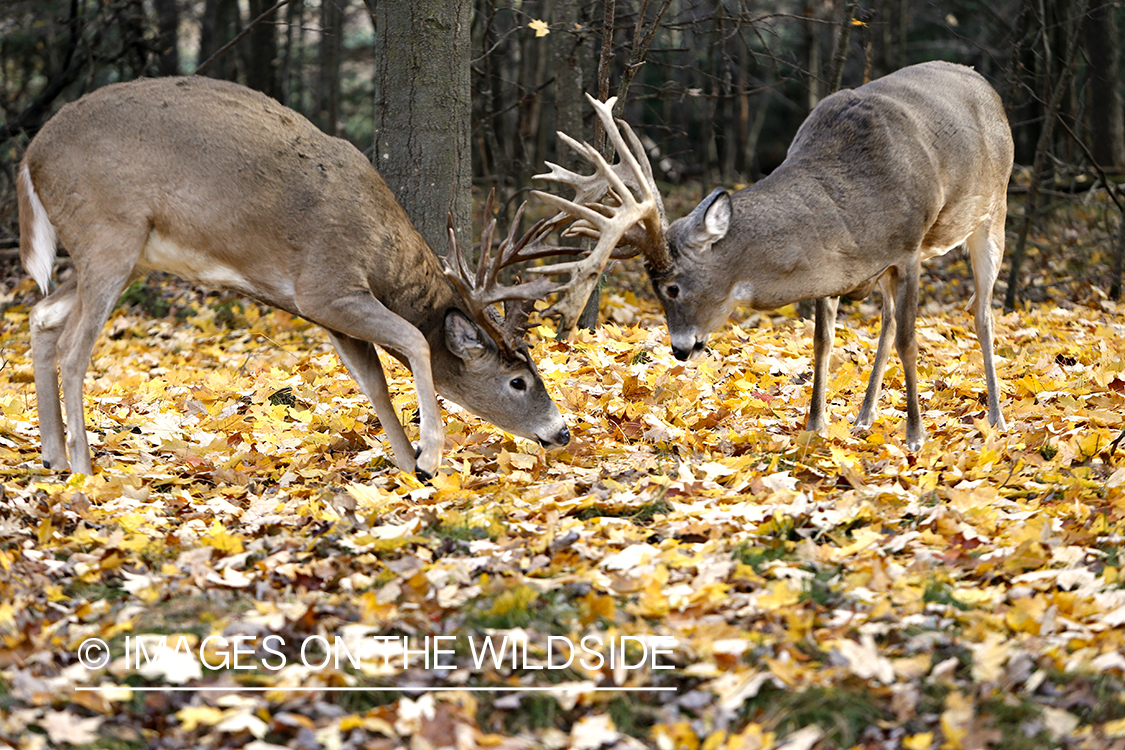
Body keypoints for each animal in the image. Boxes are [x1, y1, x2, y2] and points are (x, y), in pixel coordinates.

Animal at [19, 74, 580, 474]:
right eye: (517, 381)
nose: (562, 432)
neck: (380, 248)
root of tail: (30, 156)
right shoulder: (326, 287)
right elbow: (416, 341)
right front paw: (431, 455)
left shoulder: (329, 315)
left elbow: (374, 383)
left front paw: (410, 469)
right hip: (108, 232)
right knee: (74, 345)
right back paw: (84, 469)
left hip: (122, 254)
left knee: (42, 314)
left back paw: (52, 456)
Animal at [533, 61, 1012, 449]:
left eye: (672, 287)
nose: (680, 350)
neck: (859, 200)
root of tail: (984, 85)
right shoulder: (842, 267)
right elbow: (823, 342)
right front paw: (816, 425)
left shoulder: (909, 249)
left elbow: (911, 341)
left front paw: (915, 436)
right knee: (890, 321)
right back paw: (863, 417)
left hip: (993, 212)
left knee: (981, 313)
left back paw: (996, 417)